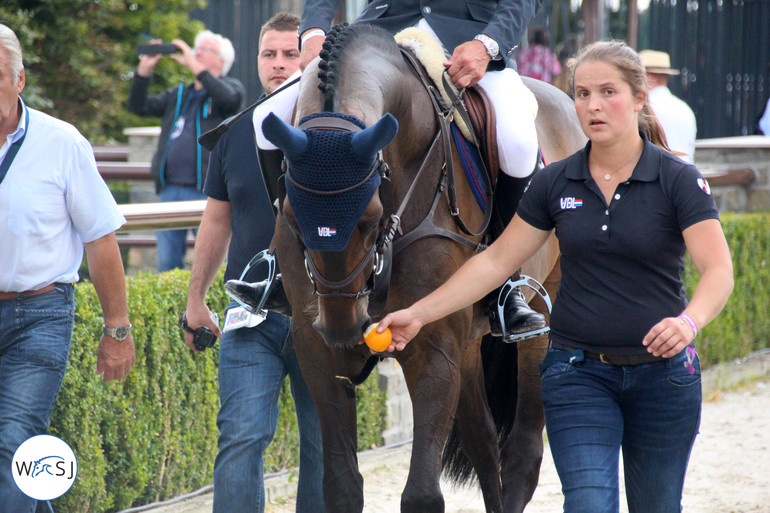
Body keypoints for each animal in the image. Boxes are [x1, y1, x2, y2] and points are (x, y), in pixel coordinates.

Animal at [264, 23, 584, 512]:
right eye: (293, 218)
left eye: (370, 217)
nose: (344, 328)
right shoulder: (315, 347)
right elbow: (340, 485)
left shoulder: (433, 342)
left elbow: (421, 495)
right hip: (468, 343)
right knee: (483, 441)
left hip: (541, 324)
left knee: (523, 453)